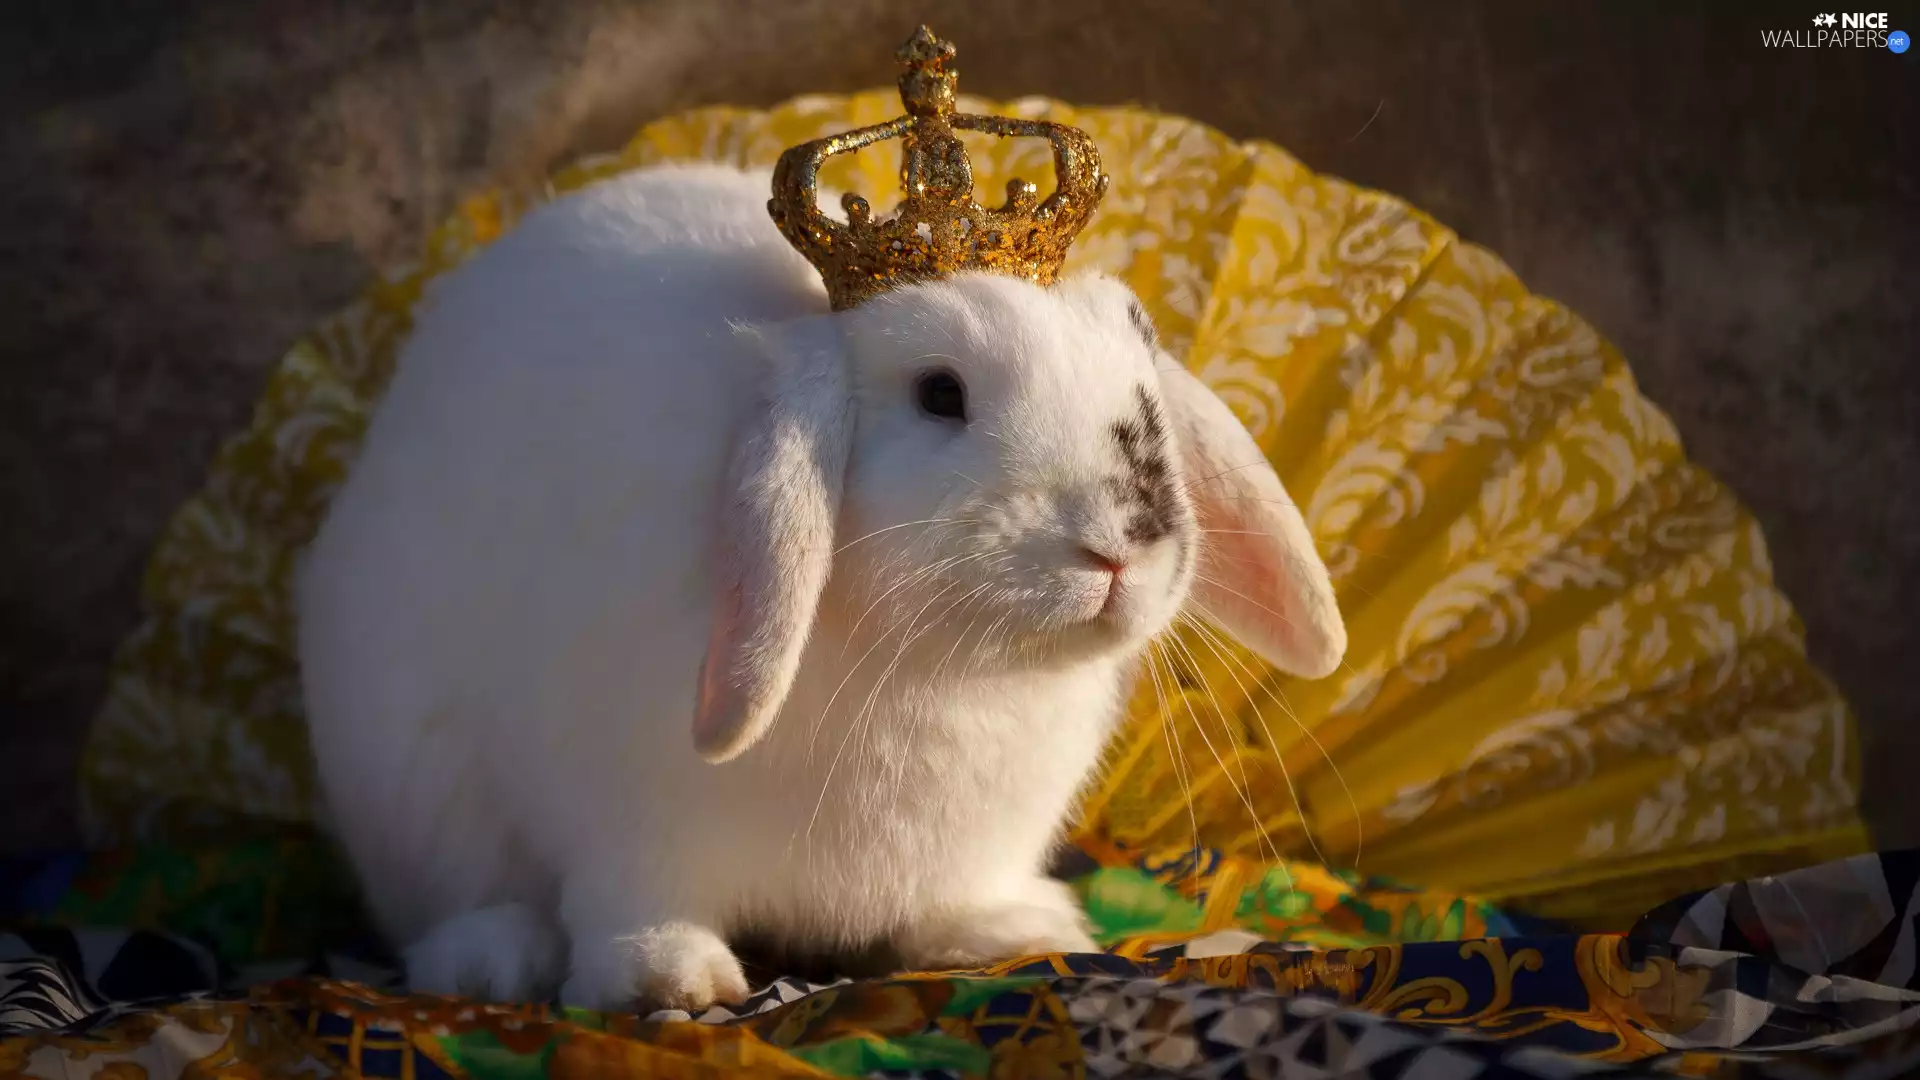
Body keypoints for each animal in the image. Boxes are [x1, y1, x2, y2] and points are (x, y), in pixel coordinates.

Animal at [296, 162, 1347, 1013]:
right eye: (940, 394)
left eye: (1144, 379)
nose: (1121, 547)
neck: (940, 664)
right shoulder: (619, 811)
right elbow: (633, 902)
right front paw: (667, 982)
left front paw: (1015, 934)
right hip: (413, 788)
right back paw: (494, 958)